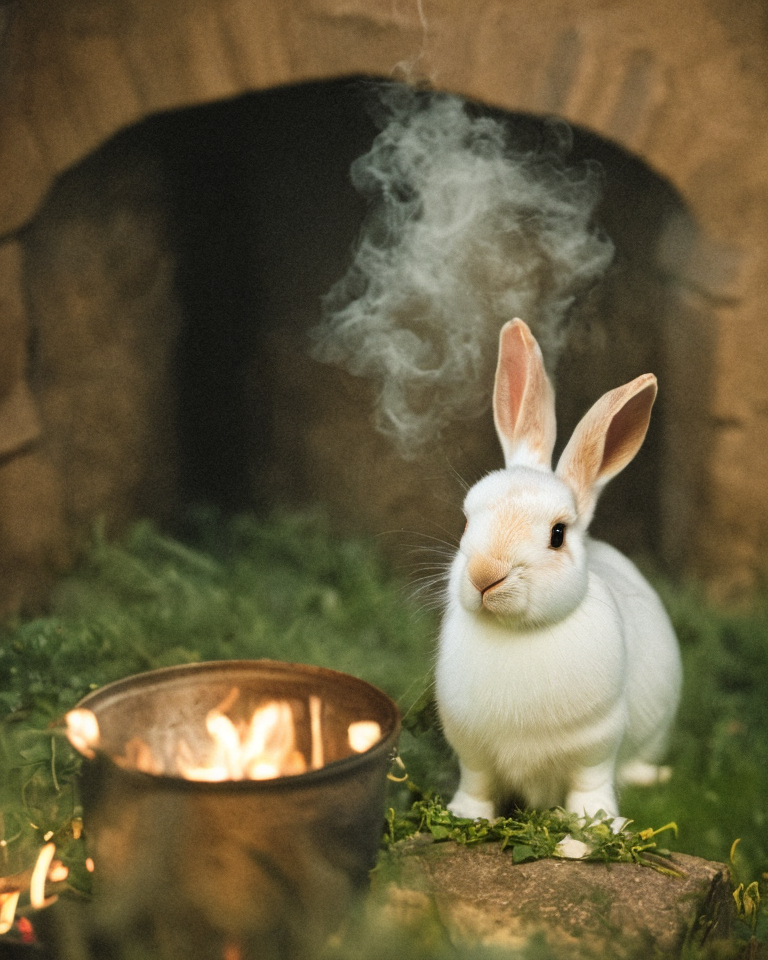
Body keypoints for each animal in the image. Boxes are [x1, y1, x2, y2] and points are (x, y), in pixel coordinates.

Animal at [436, 318, 680, 820]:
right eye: (468, 519)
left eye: (557, 535)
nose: (485, 574)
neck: (518, 635)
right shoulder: (470, 746)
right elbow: (477, 783)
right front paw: (466, 816)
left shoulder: (595, 744)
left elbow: (590, 788)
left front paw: (591, 826)